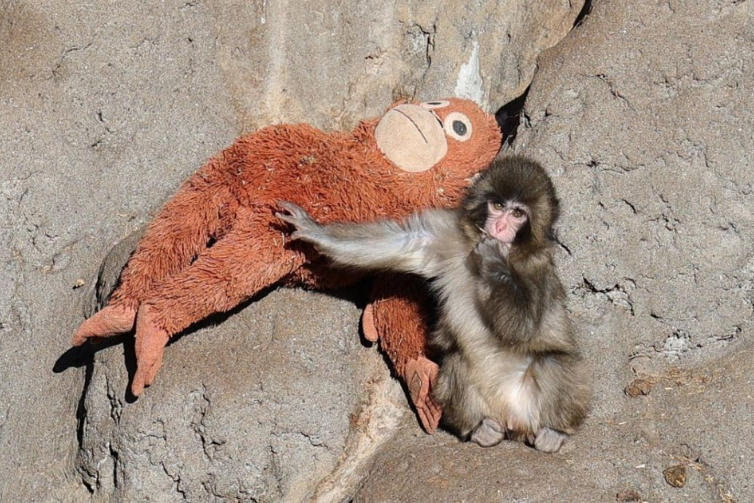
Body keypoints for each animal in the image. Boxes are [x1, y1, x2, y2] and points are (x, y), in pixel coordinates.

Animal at [275, 156, 590, 453]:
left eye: (517, 214)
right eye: (499, 205)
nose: (500, 226)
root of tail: (513, 421)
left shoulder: (538, 268)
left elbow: (524, 328)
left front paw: (493, 256)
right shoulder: (446, 234)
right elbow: (406, 242)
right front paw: (312, 228)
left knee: (552, 360)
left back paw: (554, 433)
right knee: (456, 360)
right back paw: (481, 430)